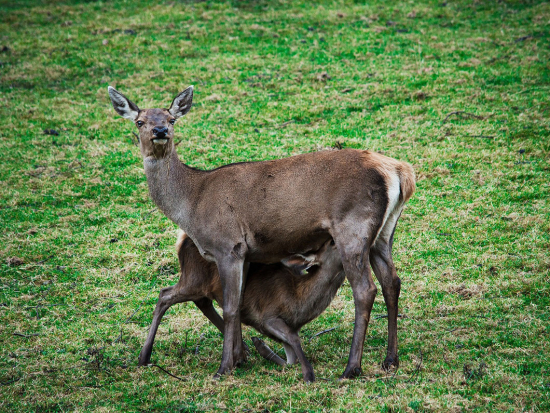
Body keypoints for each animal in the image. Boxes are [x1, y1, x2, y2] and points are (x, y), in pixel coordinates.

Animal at [110, 85, 416, 378]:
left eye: (171, 118)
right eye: (139, 121)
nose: (160, 131)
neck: (192, 204)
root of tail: (400, 171)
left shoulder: (228, 245)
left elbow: (231, 306)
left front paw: (224, 367)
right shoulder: (245, 253)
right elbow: (237, 301)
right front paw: (239, 358)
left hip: (352, 227)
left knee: (365, 289)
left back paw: (352, 367)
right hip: (383, 232)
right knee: (392, 281)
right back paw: (390, 359)